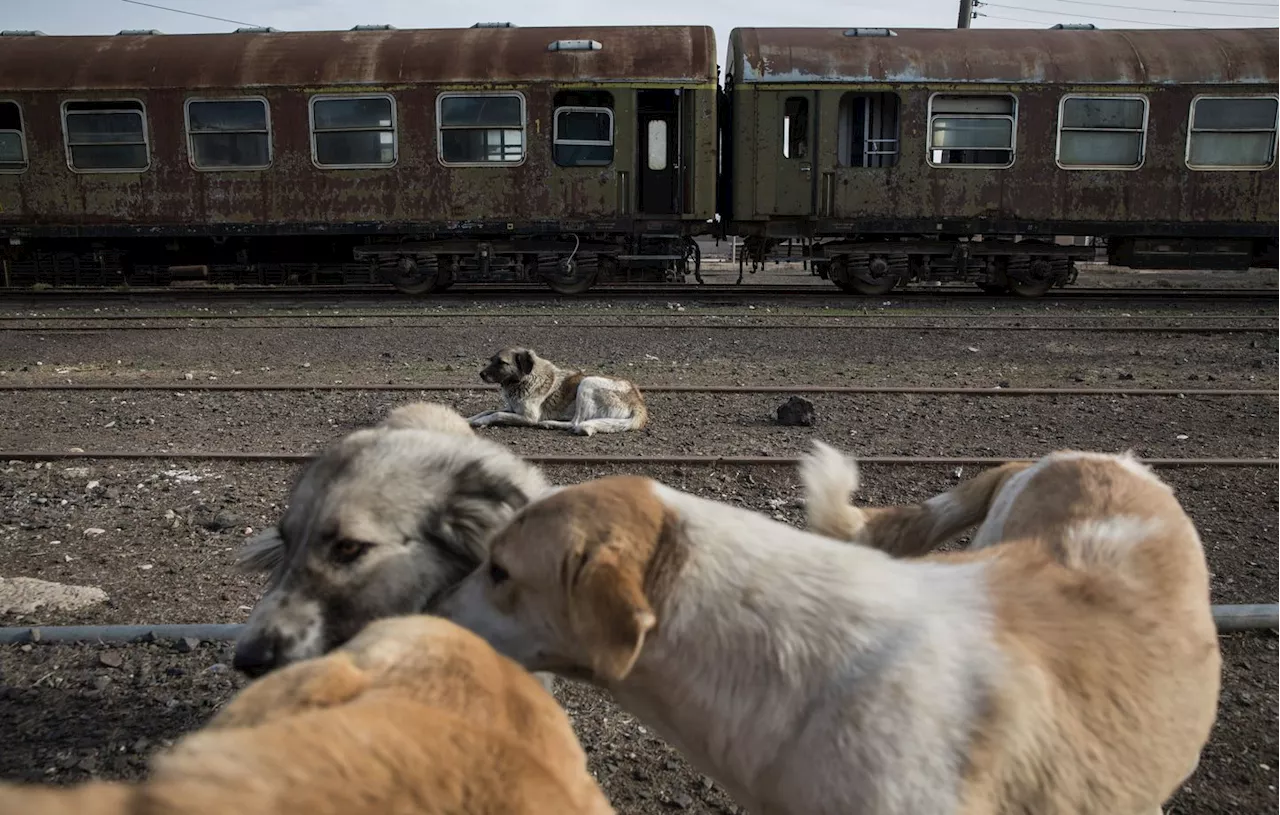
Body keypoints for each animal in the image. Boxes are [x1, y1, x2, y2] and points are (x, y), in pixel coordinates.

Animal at [468, 345, 650, 435]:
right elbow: (488, 410)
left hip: (587, 382)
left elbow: (496, 414)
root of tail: (639, 403)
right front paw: (470, 418)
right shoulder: (512, 408)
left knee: (576, 422)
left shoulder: (529, 417)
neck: (524, 379)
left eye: (502, 362)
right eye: (491, 360)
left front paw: (481, 422)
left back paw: (548, 424)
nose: (481, 374)